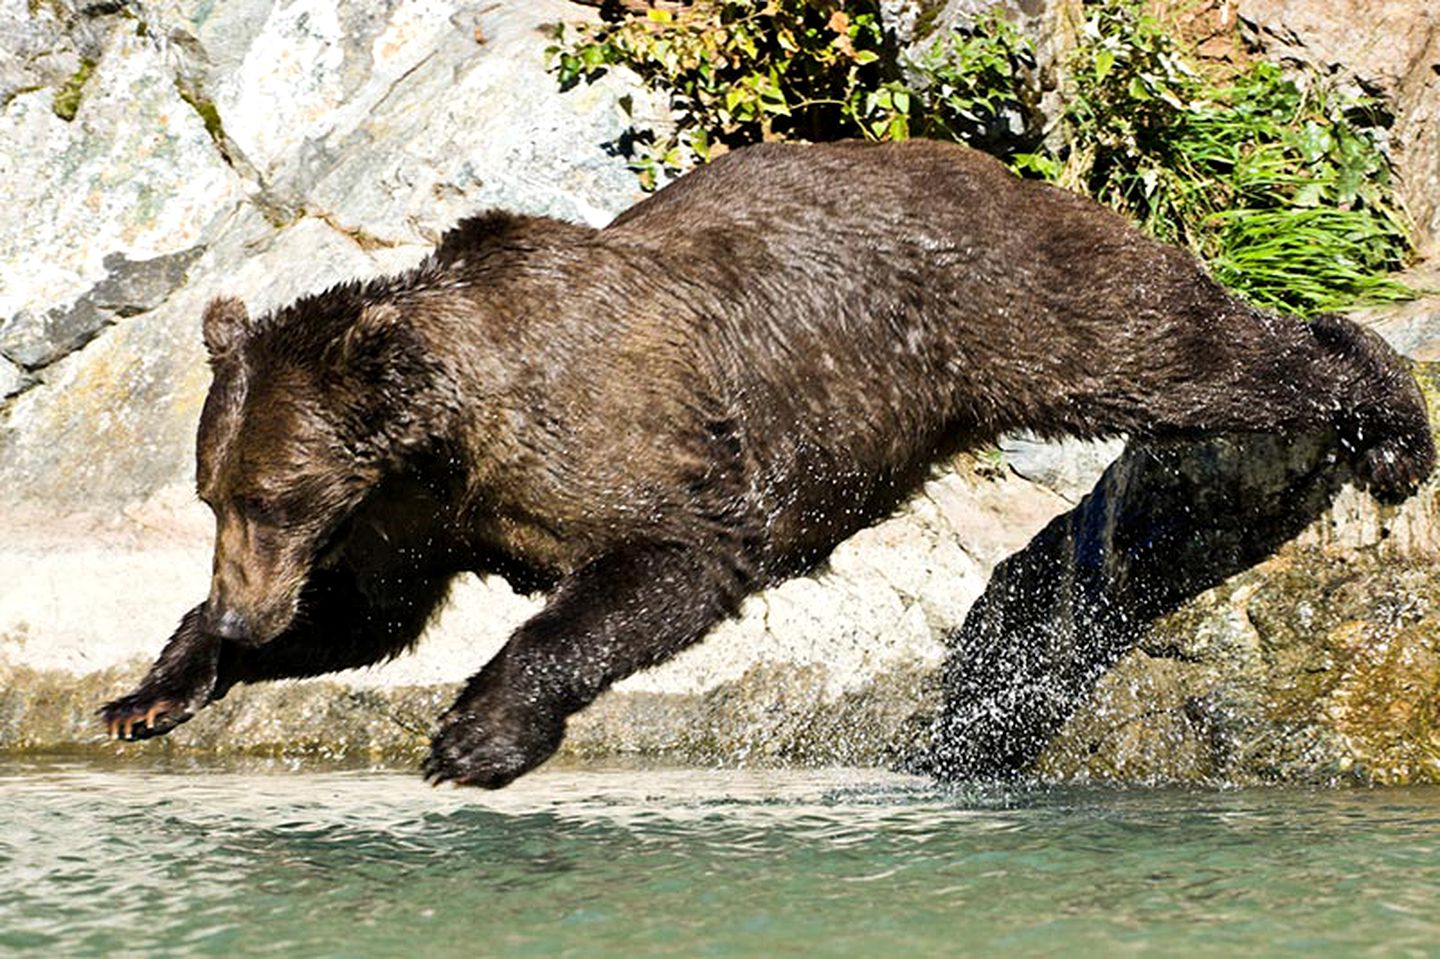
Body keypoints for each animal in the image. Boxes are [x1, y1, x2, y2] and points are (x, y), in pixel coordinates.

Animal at [98, 140, 1428, 783]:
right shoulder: (421, 512)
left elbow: (668, 560)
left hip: (1011, 299)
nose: (243, 607)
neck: (455, 433)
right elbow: (367, 615)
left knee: (1171, 347)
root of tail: (987, 162)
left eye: (275, 494)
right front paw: (152, 687)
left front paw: (474, 734)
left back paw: (1383, 414)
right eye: (216, 495)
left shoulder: (628, 447)